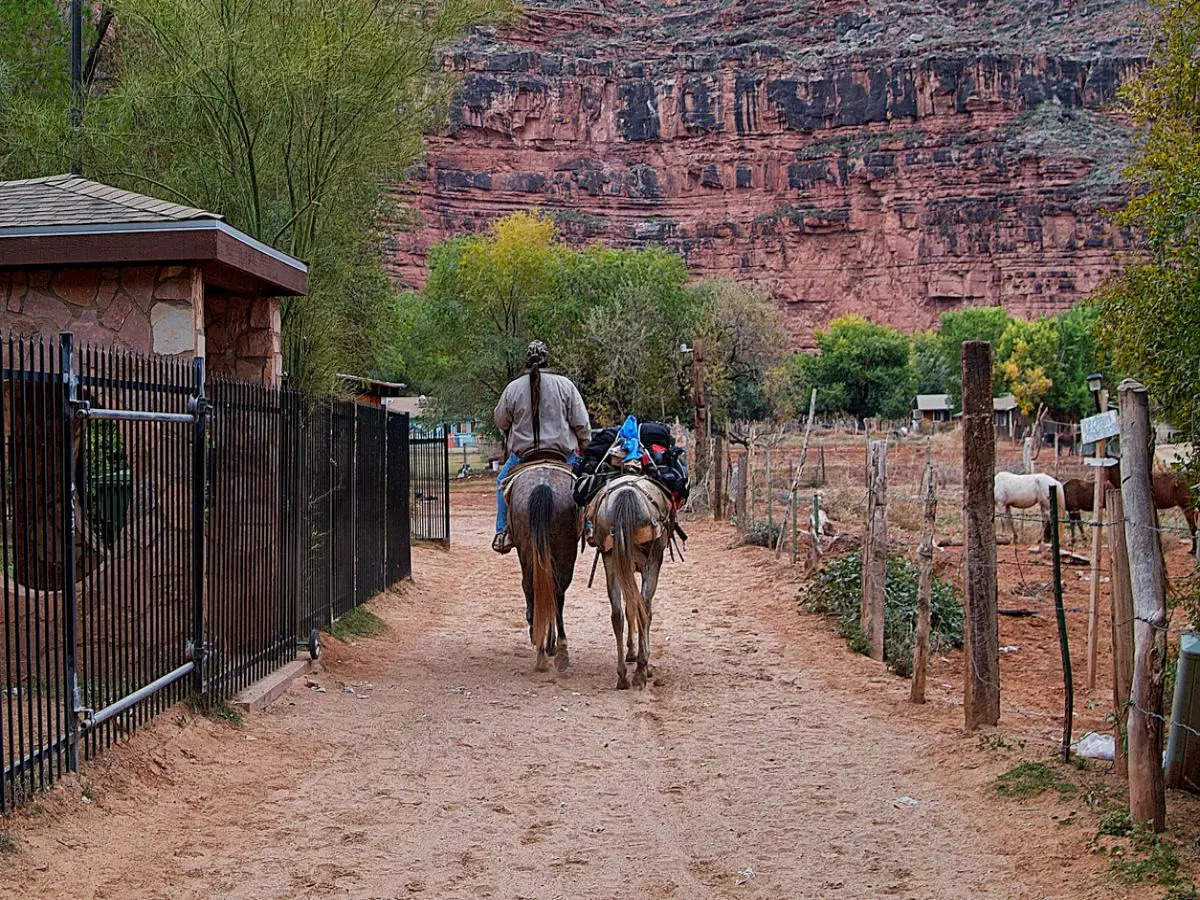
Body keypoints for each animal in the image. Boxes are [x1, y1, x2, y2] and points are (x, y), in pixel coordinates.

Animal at [506, 460, 580, 672]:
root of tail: (543, 485)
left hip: (529, 551)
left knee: (534, 588)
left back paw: (542, 648)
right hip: (563, 553)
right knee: (556, 593)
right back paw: (559, 651)